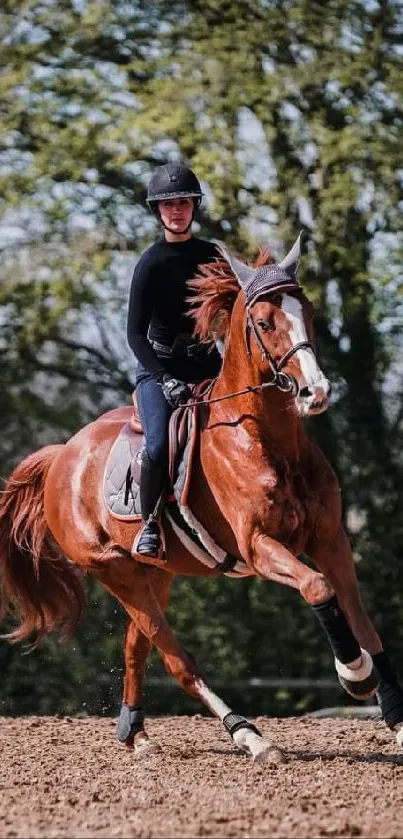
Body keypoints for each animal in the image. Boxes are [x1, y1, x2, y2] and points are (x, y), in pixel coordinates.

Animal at [0, 231, 403, 760]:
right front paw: (354, 675)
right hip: (113, 570)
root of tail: (62, 456)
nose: (316, 393)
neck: (263, 438)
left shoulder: (330, 539)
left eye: (309, 313)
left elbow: (364, 622)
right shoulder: (258, 548)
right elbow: (319, 588)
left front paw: (396, 717)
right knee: (178, 661)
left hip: (156, 574)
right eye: (263, 322)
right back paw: (250, 736)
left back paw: (137, 733)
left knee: (137, 646)